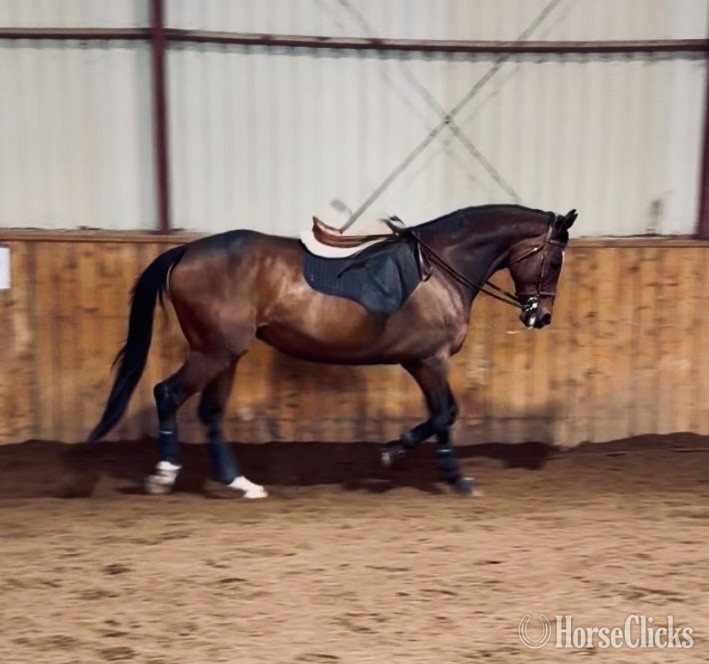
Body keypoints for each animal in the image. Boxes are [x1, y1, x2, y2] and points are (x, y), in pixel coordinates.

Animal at [87, 204, 576, 498]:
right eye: (554, 260)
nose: (540, 317)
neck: (442, 267)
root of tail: (186, 251)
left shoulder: (418, 361)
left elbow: (442, 415)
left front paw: (397, 452)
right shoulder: (430, 360)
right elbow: (444, 415)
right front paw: (448, 474)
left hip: (225, 355)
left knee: (210, 412)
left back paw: (240, 483)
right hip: (213, 353)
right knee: (167, 394)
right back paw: (165, 473)